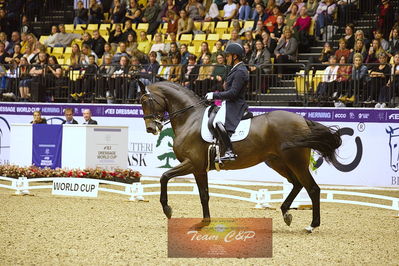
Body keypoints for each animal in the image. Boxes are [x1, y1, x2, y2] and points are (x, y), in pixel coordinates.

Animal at [139, 81, 342, 233]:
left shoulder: (192, 163)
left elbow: (164, 177)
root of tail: (303, 120)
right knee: (297, 184)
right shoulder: (199, 169)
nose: (150, 128)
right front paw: (204, 222)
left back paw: (311, 225)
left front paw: (167, 209)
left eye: (147, 101)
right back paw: (286, 212)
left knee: (312, 189)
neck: (190, 119)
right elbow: (204, 195)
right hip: (277, 162)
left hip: (295, 161)